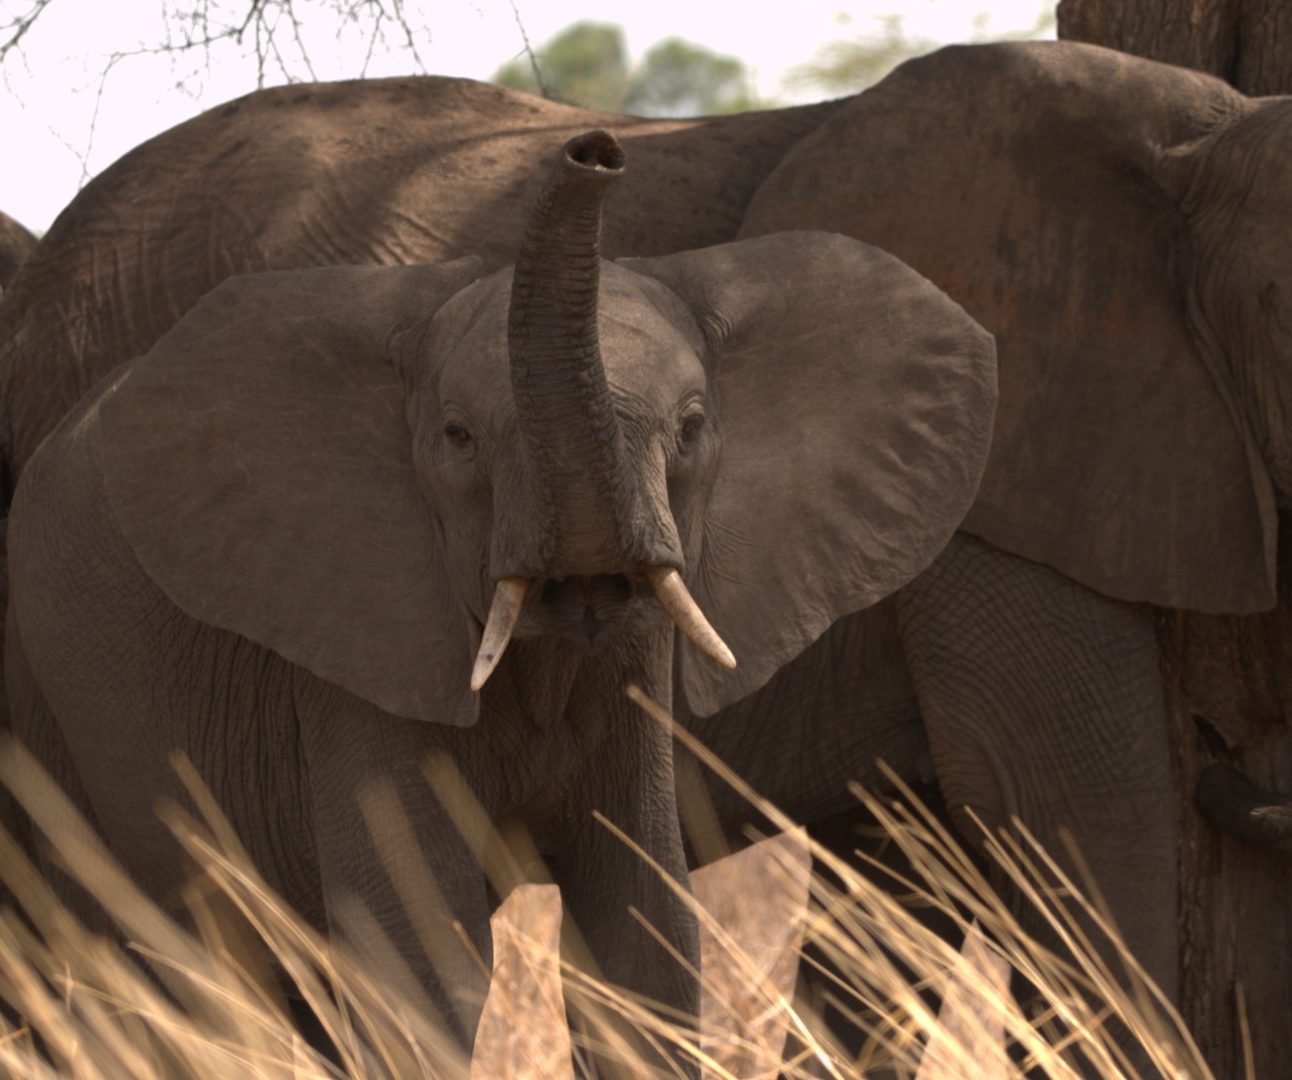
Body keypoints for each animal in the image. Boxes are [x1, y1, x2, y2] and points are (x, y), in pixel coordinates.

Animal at [5, 130, 992, 1069]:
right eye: (457, 437)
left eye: (691, 427)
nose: (595, 152)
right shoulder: (359, 639)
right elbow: (417, 961)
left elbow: (644, 940)